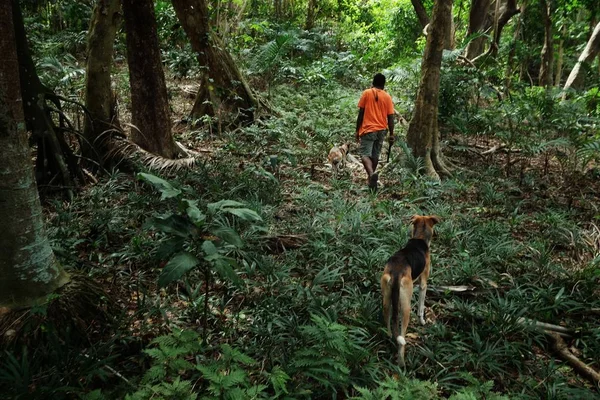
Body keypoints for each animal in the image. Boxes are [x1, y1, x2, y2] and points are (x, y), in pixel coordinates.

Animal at [380, 214, 440, 368]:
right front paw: (422, 321)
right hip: (405, 307)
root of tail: (396, 273)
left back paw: (389, 337)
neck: (420, 238)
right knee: (402, 338)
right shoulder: (423, 284)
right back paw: (402, 364)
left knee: (388, 323)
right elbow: (421, 308)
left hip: (387, 299)